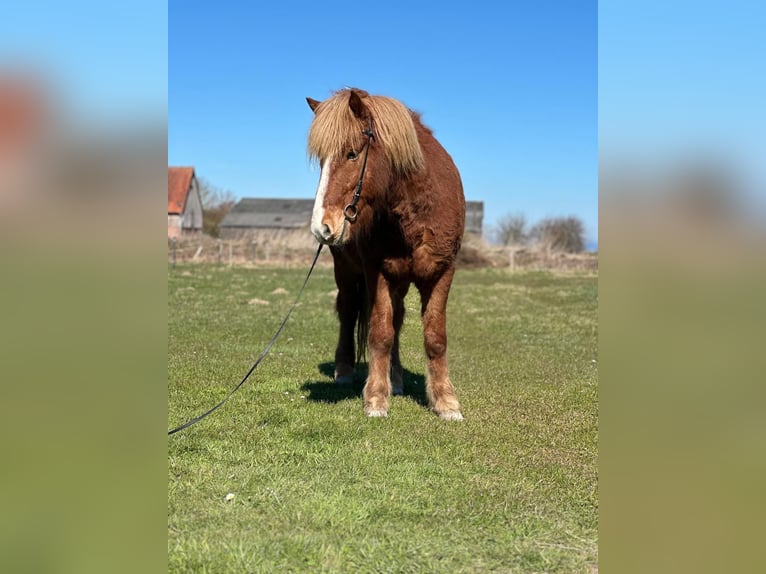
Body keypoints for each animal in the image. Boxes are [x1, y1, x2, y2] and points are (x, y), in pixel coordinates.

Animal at [306, 88, 465, 420]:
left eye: (352, 153)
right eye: (322, 161)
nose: (321, 227)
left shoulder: (443, 273)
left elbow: (435, 337)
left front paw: (445, 401)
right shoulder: (376, 271)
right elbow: (380, 333)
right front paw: (377, 399)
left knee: (398, 318)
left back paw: (397, 377)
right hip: (347, 271)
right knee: (349, 311)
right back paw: (345, 371)